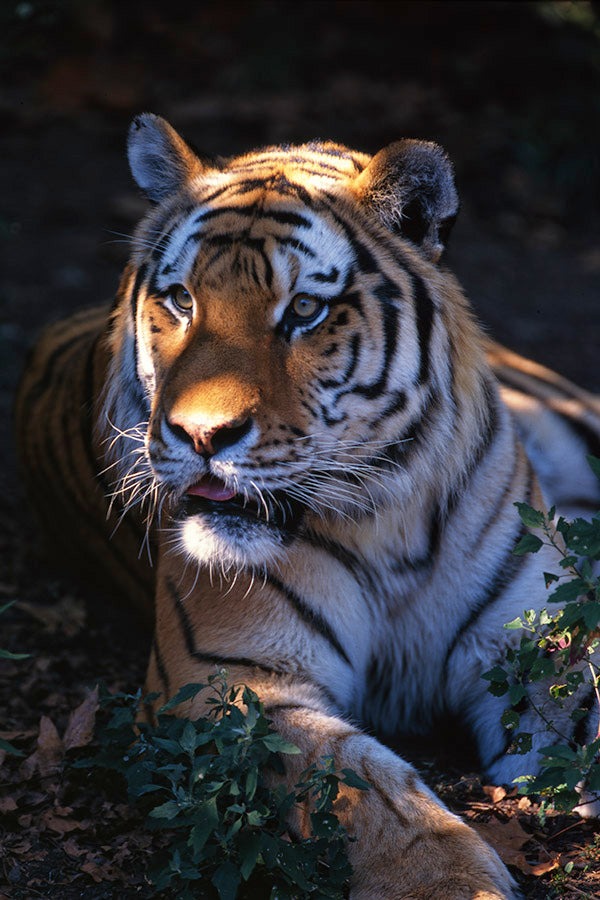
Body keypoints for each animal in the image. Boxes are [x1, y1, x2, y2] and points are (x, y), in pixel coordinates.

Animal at [15, 113, 600, 900]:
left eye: (303, 310)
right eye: (181, 300)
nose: (202, 435)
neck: (388, 519)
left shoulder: (531, 641)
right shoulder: (227, 682)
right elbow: (360, 789)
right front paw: (448, 883)